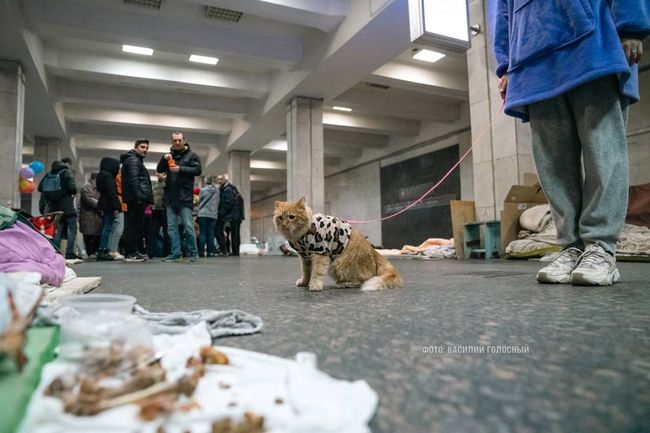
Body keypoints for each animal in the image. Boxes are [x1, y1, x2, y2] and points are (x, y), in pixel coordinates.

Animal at [270, 197, 400, 292]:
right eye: (280, 218)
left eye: (291, 217)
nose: (284, 225)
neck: (303, 233)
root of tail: (374, 252)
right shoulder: (305, 258)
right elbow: (306, 272)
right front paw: (304, 282)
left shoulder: (320, 253)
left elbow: (317, 272)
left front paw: (315, 285)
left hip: (338, 265)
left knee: (364, 279)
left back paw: (343, 284)